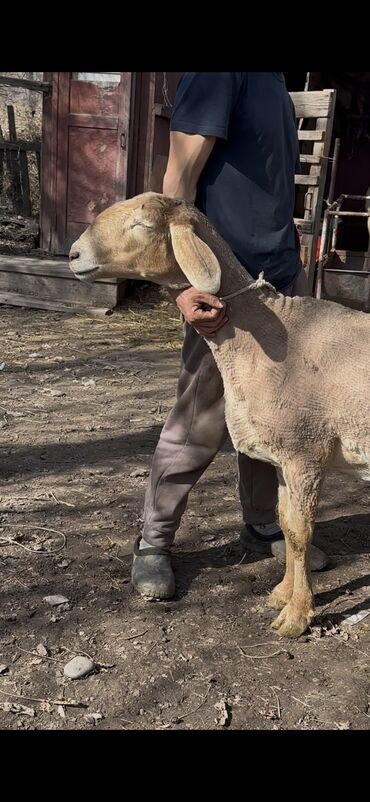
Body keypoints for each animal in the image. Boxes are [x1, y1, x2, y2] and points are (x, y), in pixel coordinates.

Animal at [68, 191, 368, 636]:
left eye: (143, 225)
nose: (73, 254)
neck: (268, 334)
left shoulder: (304, 452)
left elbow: (301, 532)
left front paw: (296, 616)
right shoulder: (282, 457)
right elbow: (286, 524)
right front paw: (282, 594)